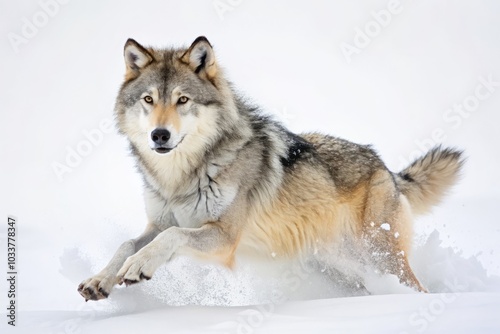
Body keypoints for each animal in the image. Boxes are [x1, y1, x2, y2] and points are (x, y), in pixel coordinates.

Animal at [78, 36, 464, 300]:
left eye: (182, 100)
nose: (160, 135)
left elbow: (171, 237)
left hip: (380, 259)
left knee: (416, 288)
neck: (181, 176)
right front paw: (101, 278)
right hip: (344, 269)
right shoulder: (157, 223)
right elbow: (129, 243)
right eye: (149, 100)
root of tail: (385, 167)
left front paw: (139, 267)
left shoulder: (224, 237)